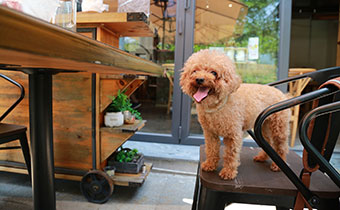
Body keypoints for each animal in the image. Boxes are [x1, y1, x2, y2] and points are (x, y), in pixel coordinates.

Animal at [181, 49, 290, 179]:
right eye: (195, 71)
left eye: (213, 72)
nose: (199, 79)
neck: (217, 106)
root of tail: (282, 94)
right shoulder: (210, 133)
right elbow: (211, 149)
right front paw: (210, 165)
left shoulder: (233, 134)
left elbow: (230, 154)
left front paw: (228, 172)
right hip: (264, 126)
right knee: (268, 142)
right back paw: (261, 157)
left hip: (278, 127)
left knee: (281, 146)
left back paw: (277, 165)